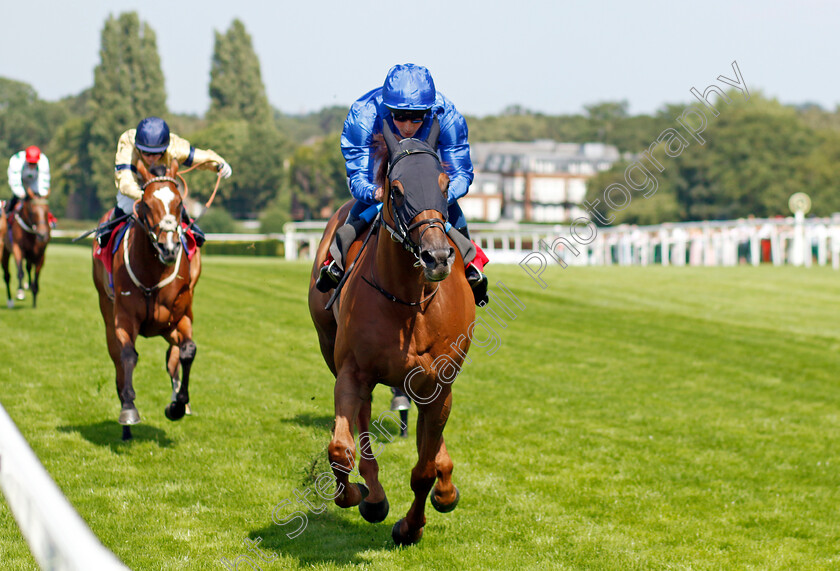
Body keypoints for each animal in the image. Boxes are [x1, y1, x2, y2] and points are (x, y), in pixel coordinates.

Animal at [93, 159, 202, 440]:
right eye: (147, 203)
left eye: (179, 203)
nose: (169, 248)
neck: (154, 272)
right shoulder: (124, 317)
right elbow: (128, 355)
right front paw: (129, 410)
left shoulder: (181, 315)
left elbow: (188, 351)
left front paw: (178, 405)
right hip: (106, 310)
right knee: (117, 361)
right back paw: (125, 426)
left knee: (174, 354)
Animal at [310, 120, 480, 544]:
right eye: (397, 189)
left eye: (444, 183)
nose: (437, 256)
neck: (408, 300)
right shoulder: (352, 371)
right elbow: (341, 449)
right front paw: (358, 495)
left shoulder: (438, 382)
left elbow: (424, 469)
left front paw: (411, 525)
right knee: (362, 419)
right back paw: (373, 495)